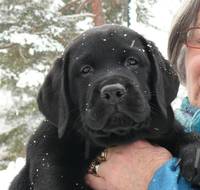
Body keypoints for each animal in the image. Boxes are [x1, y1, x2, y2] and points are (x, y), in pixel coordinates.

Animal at [9, 24, 200, 189]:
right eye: (85, 70)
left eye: (132, 61)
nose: (113, 91)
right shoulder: (50, 163)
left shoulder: (166, 130)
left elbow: (187, 135)